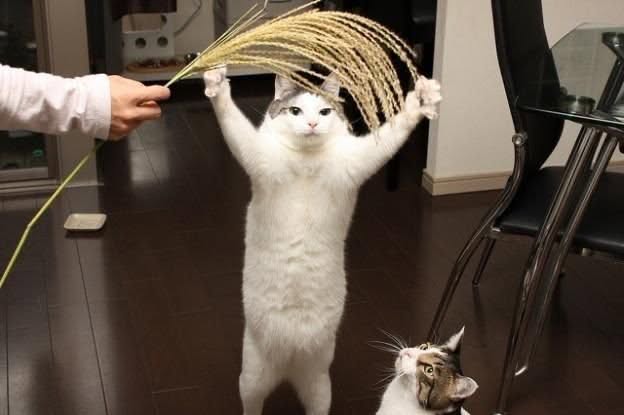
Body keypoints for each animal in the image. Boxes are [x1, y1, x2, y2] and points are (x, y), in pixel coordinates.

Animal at [203, 66, 441, 415]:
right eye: (295, 111)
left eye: (325, 112)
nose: (313, 124)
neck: (307, 160)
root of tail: (288, 367)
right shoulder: (257, 157)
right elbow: (232, 121)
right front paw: (216, 84)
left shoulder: (360, 160)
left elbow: (393, 132)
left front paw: (421, 100)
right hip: (251, 379)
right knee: (252, 405)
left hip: (319, 385)